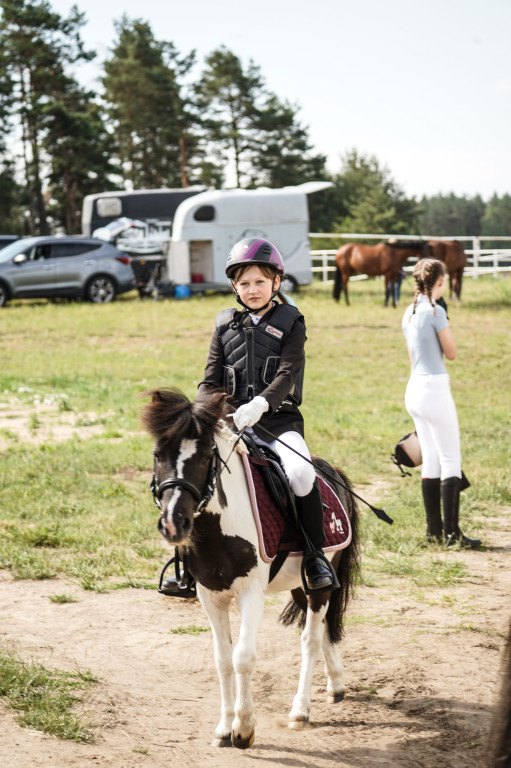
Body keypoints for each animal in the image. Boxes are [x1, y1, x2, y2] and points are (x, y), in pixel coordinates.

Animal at [143, 388, 360, 748]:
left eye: (205, 457)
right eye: (158, 455)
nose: (174, 523)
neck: (219, 527)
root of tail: (328, 469)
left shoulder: (251, 593)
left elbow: (243, 657)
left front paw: (243, 729)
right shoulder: (210, 596)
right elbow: (222, 660)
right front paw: (223, 728)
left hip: (319, 582)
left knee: (311, 638)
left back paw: (300, 710)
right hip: (299, 584)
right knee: (323, 628)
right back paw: (336, 684)